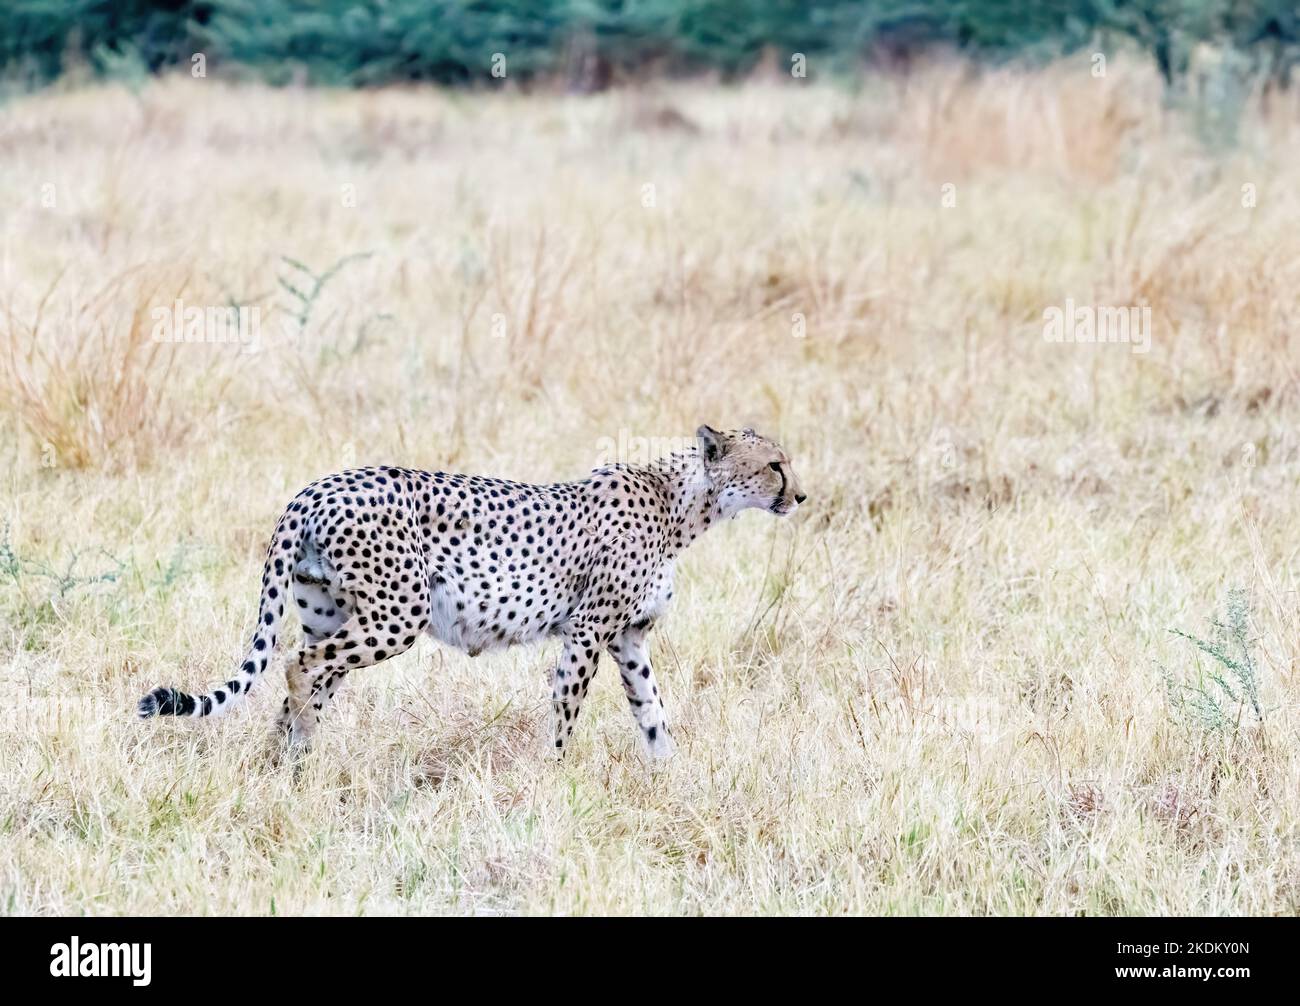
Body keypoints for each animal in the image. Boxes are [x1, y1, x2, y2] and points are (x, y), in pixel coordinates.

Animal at [134, 421, 800, 759]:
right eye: (775, 464)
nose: (802, 495)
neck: (680, 503)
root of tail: (315, 486)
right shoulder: (588, 631)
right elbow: (566, 712)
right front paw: (555, 780)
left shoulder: (628, 638)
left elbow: (653, 711)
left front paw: (670, 776)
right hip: (398, 613)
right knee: (300, 667)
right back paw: (302, 761)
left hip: (331, 612)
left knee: (308, 673)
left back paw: (279, 766)